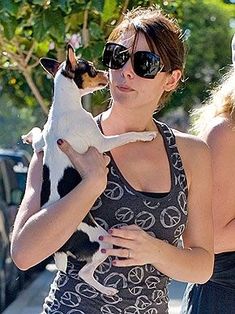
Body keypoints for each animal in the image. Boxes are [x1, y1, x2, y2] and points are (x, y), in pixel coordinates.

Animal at [22, 43, 157, 294]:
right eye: (93, 70)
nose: (107, 74)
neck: (65, 108)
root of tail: (60, 248)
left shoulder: (41, 144)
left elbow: (37, 134)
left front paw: (28, 135)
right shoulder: (102, 143)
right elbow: (126, 136)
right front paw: (145, 135)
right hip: (102, 239)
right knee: (85, 272)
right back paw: (108, 290)